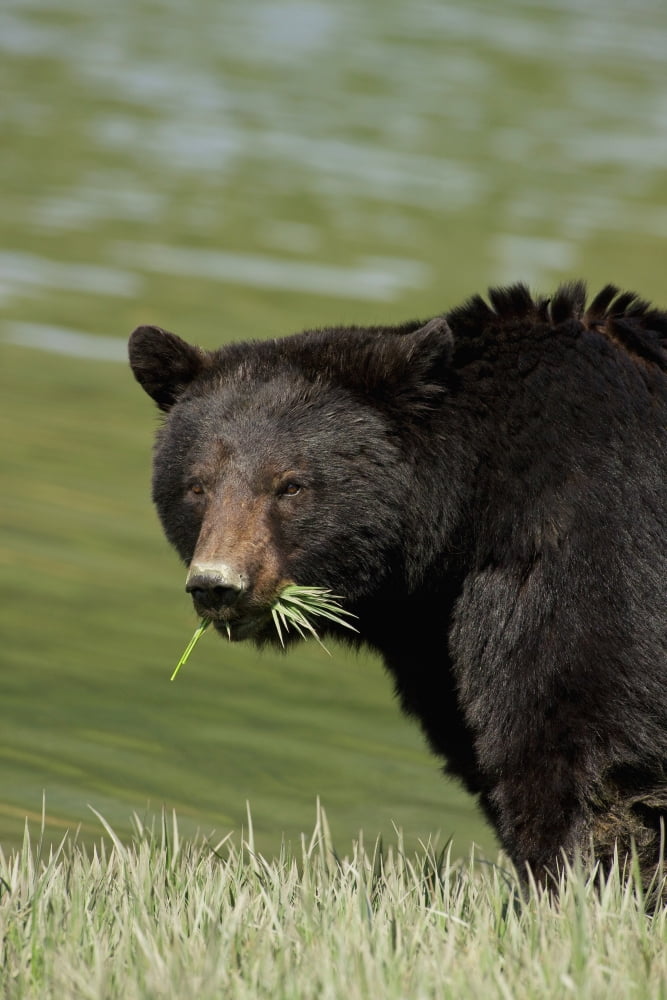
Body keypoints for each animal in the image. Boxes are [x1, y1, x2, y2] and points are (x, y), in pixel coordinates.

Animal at [129, 281, 667, 893]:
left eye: (291, 485)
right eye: (197, 485)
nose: (217, 584)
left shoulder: (590, 531)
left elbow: (576, 727)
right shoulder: (434, 631)